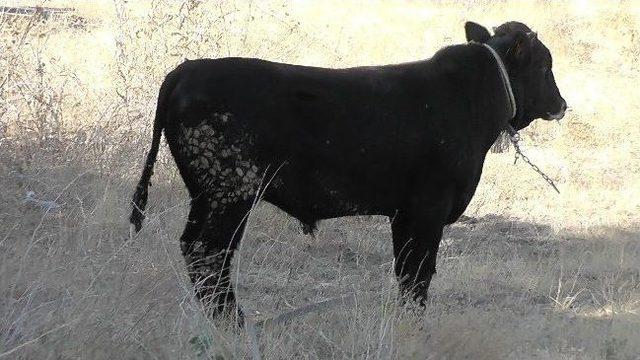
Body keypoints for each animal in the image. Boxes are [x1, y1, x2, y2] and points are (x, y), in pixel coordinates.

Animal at [129, 21, 564, 320]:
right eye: (545, 66)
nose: (561, 104)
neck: (470, 100)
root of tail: (186, 71)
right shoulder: (427, 211)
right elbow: (417, 276)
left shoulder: (404, 215)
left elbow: (406, 273)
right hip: (229, 194)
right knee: (210, 254)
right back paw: (233, 324)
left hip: (210, 198)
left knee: (199, 252)